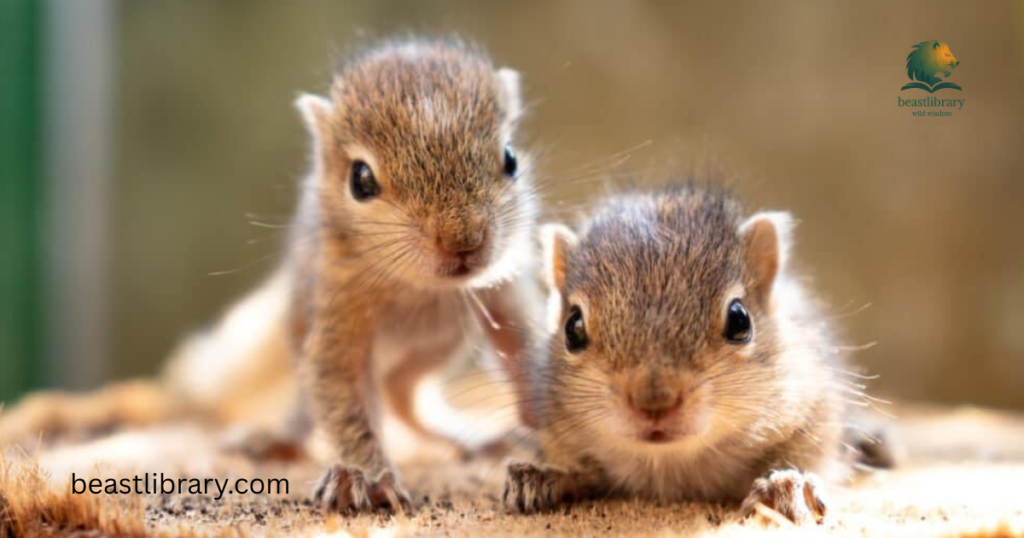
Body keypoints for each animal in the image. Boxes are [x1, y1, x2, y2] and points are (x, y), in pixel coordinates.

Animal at [0, 38, 544, 513]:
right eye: (361, 180)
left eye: (510, 158)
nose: (464, 242)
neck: (423, 288)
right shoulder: (337, 310)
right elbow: (343, 400)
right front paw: (367, 477)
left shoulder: (506, 290)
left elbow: (526, 355)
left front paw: (545, 440)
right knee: (341, 404)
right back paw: (283, 440)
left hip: (433, 349)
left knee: (403, 395)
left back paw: (473, 437)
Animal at [503, 184, 868, 524]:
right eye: (573, 328)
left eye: (740, 319)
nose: (654, 402)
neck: (668, 463)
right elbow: (583, 471)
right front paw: (541, 477)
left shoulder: (815, 412)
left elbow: (805, 457)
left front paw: (789, 485)